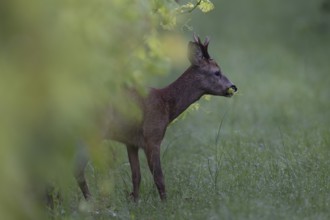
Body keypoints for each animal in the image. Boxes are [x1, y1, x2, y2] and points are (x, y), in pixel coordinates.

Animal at [75, 34, 237, 201]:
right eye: (217, 72)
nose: (233, 87)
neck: (166, 105)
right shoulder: (152, 136)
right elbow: (158, 177)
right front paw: (165, 203)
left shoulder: (131, 142)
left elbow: (136, 176)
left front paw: (135, 201)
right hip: (92, 131)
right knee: (77, 170)